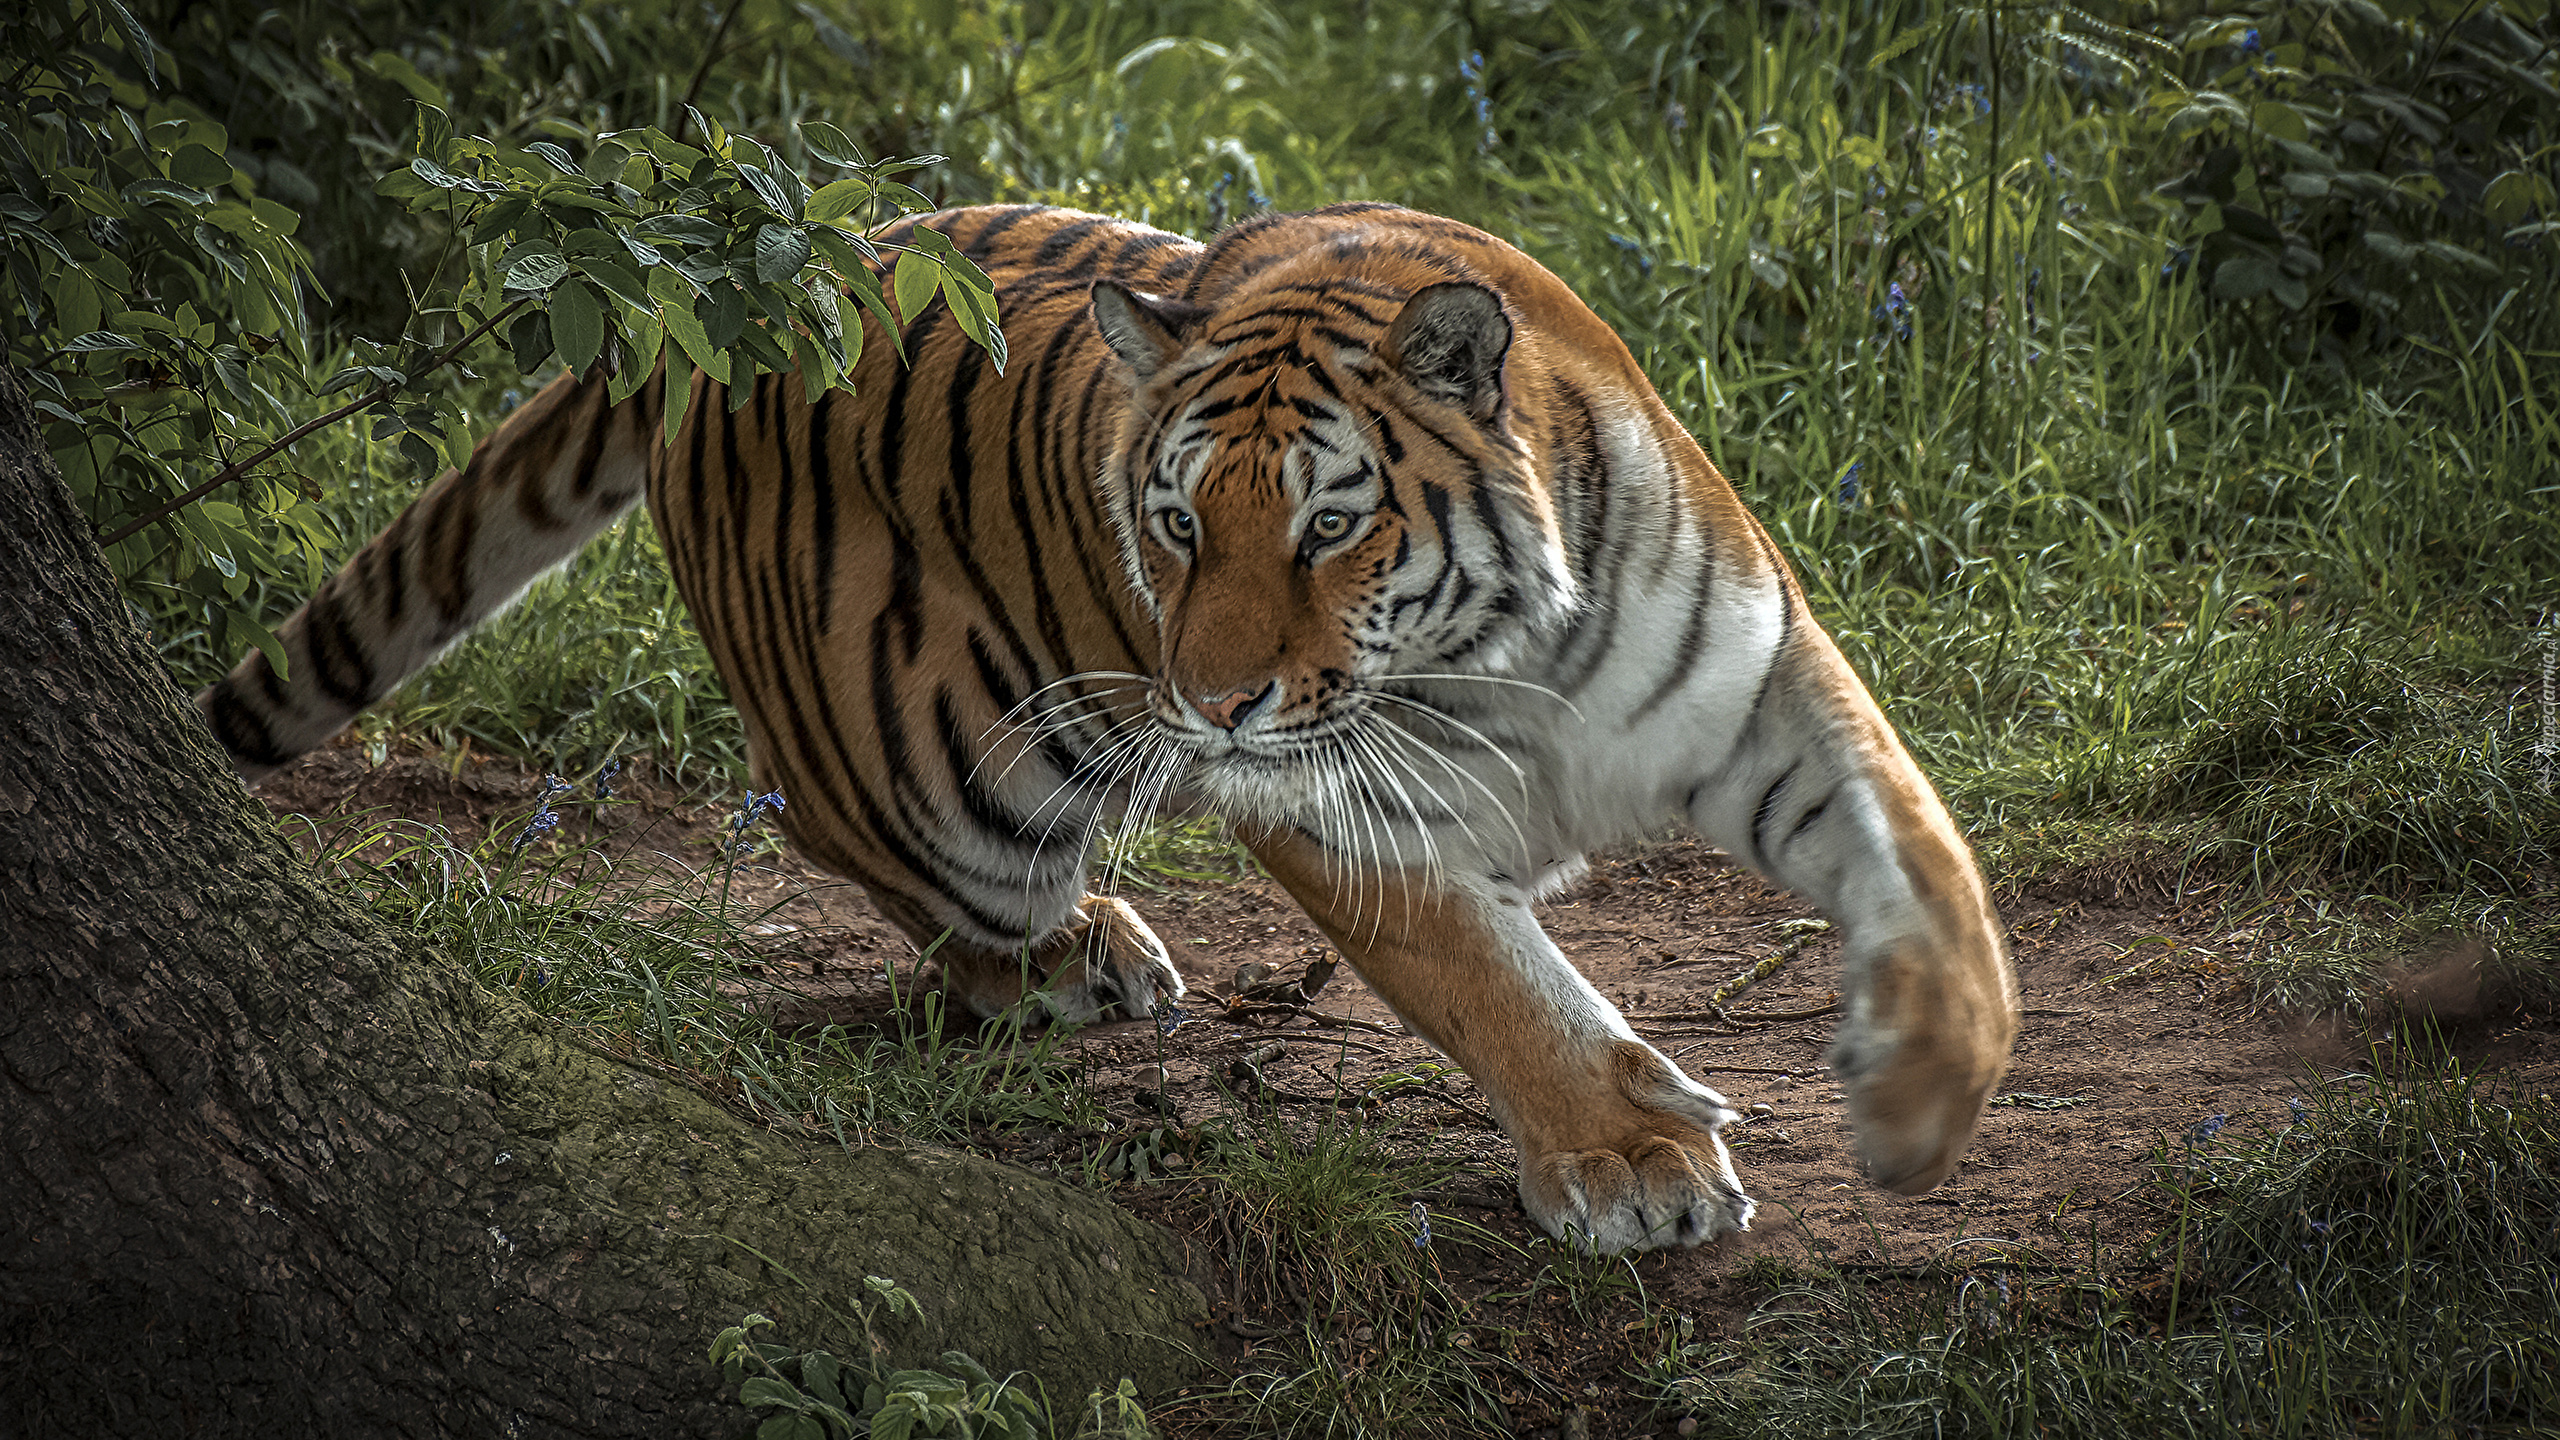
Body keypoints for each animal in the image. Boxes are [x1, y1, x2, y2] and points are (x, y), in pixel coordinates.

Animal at [199, 198, 2017, 1245]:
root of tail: (725, 296)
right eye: (1175, 525)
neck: (1509, 649)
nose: (1207, 703)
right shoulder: (1337, 803)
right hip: (933, 777)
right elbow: (1493, 983)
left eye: (1327, 526)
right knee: (860, 839)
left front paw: (1926, 1086)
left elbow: (1926, 858)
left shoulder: (1763, 675)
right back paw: (1069, 954)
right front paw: (1635, 1162)